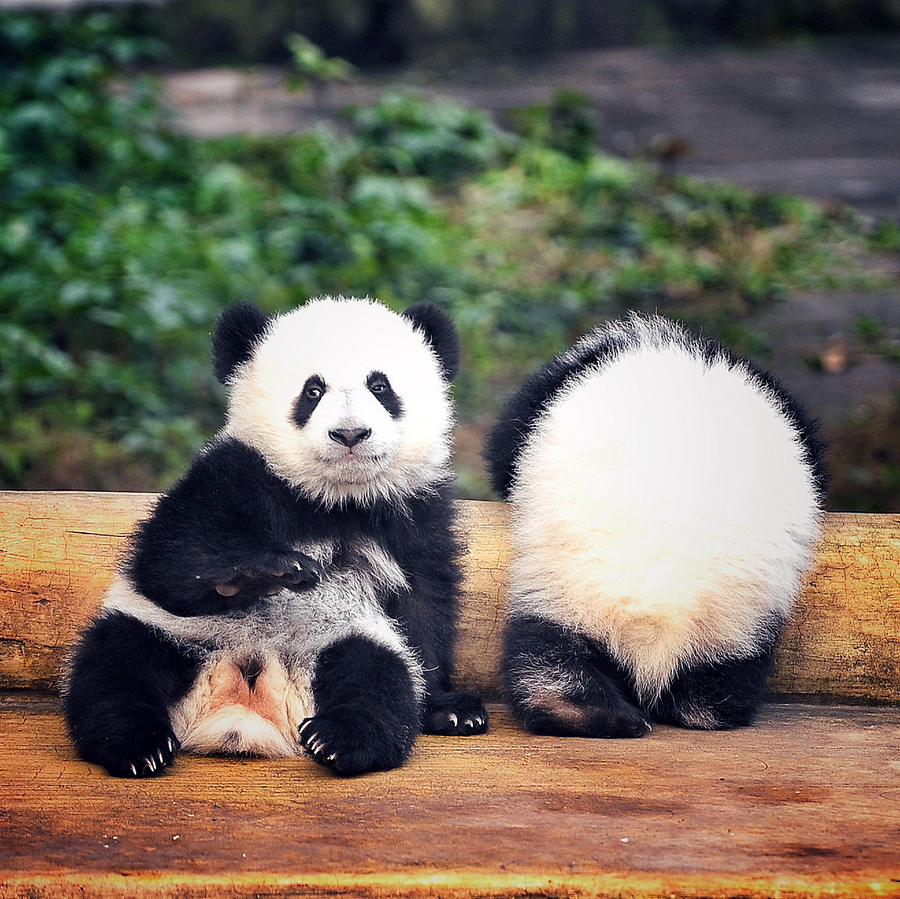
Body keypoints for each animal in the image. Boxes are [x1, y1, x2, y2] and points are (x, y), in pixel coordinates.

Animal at [63, 297, 488, 777]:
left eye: (380, 386)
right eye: (313, 391)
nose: (350, 434)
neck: (336, 499)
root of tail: (241, 702)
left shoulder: (414, 511)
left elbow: (424, 604)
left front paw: (449, 709)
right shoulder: (235, 472)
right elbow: (169, 559)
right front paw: (258, 573)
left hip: (340, 639)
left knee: (378, 680)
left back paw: (339, 739)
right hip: (168, 633)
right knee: (115, 667)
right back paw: (138, 745)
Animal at [484, 313, 824, 738]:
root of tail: (658, 631)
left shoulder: (546, 399)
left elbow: (504, 447)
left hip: (571, 591)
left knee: (545, 653)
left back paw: (577, 710)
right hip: (733, 628)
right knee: (720, 685)